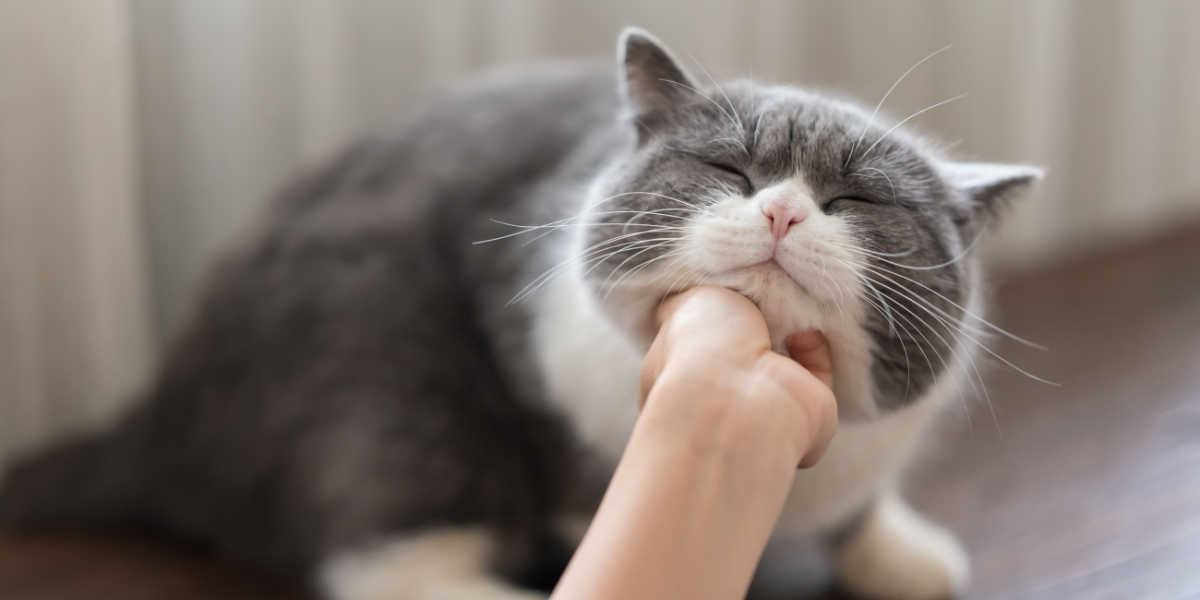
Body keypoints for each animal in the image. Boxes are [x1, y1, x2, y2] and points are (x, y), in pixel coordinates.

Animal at [0, 28, 1036, 600]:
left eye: (855, 201)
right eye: (730, 171)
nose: (783, 210)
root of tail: (155, 421)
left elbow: (863, 502)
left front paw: (900, 552)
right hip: (387, 370)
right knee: (384, 557)